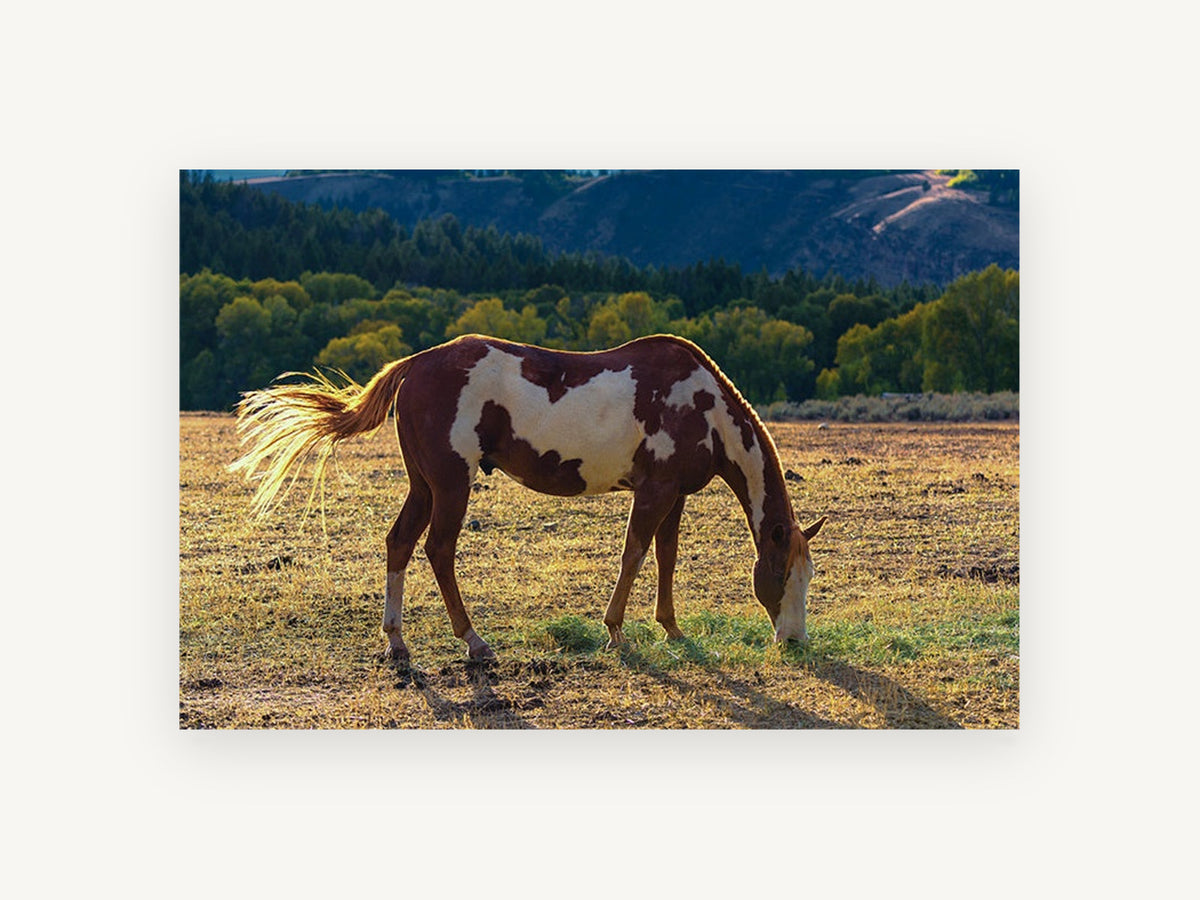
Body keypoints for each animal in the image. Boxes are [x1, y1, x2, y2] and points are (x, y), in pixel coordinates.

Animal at [229, 333, 826, 660]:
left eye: (807, 575)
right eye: (781, 573)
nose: (795, 640)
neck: (702, 406)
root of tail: (416, 364)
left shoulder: (675, 495)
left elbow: (666, 558)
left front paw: (671, 628)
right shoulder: (654, 491)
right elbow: (634, 555)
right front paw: (615, 631)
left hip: (423, 486)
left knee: (399, 543)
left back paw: (397, 642)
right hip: (451, 485)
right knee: (439, 551)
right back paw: (473, 642)